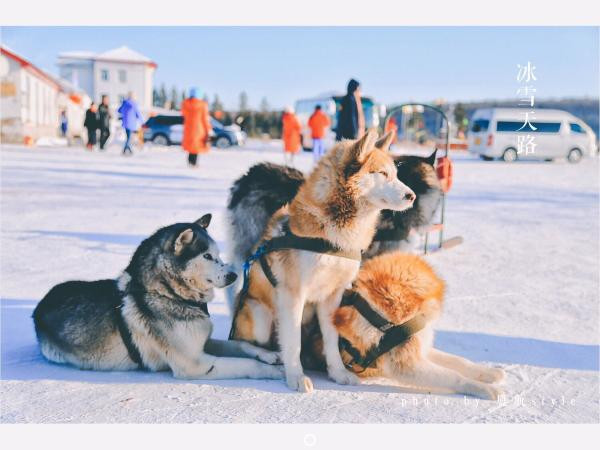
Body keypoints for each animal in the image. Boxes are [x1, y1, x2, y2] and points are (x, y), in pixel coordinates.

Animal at [231, 129, 418, 390]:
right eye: (382, 173)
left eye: (396, 174)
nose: (412, 196)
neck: (333, 233)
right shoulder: (293, 295)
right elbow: (293, 343)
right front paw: (296, 377)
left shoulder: (332, 297)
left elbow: (331, 341)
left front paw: (338, 373)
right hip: (259, 314)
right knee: (240, 342)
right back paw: (267, 354)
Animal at [304, 253, 506, 400]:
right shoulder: (407, 364)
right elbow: (453, 375)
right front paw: (483, 388)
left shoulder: (420, 347)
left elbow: (460, 361)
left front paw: (489, 373)